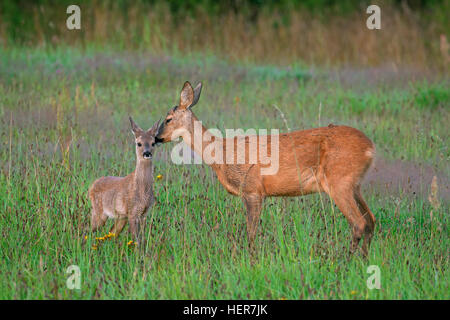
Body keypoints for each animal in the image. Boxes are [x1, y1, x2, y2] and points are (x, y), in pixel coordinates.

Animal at [88, 117, 160, 245]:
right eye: (139, 143)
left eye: (153, 143)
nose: (147, 153)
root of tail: (92, 186)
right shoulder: (132, 212)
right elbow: (136, 241)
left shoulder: (144, 213)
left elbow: (142, 240)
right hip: (99, 211)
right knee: (88, 231)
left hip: (120, 217)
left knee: (111, 234)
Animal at [155, 81, 376, 256]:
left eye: (168, 119)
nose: (157, 138)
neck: (221, 155)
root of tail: (370, 148)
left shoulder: (253, 189)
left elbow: (251, 233)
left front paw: (251, 260)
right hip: (354, 185)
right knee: (371, 220)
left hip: (339, 181)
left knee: (359, 223)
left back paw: (344, 261)